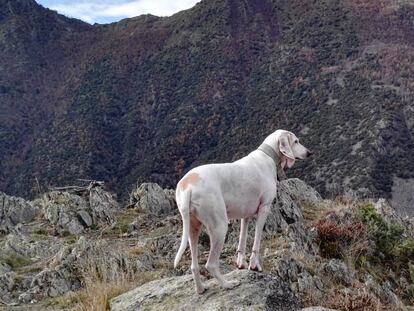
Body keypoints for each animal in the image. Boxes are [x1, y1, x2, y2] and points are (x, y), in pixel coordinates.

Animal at [173, 129, 312, 294]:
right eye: (296, 141)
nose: (309, 153)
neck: (267, 156)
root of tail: (188, 186)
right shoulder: (264, 208)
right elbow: (257, 241)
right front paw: (254, 265)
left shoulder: (245, 214)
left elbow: (242, 239)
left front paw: (241, 263)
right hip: (219, 227)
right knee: (210, 264)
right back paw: (227, 284)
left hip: (193, 228)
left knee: (194, 265)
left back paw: (200, 288)